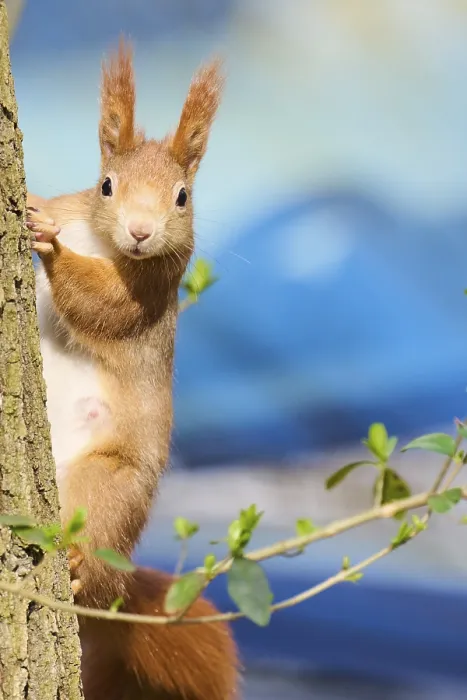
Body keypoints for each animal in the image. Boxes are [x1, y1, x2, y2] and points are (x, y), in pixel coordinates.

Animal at [27, 39, 239, 700]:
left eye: (183, 196)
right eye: (105, 185)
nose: (141, 232)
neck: (100, 240)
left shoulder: (150, 289)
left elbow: (101, 304)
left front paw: (51, 248)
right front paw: (34, 209)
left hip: (109, 490)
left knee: (96, 567)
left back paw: (78, 573)